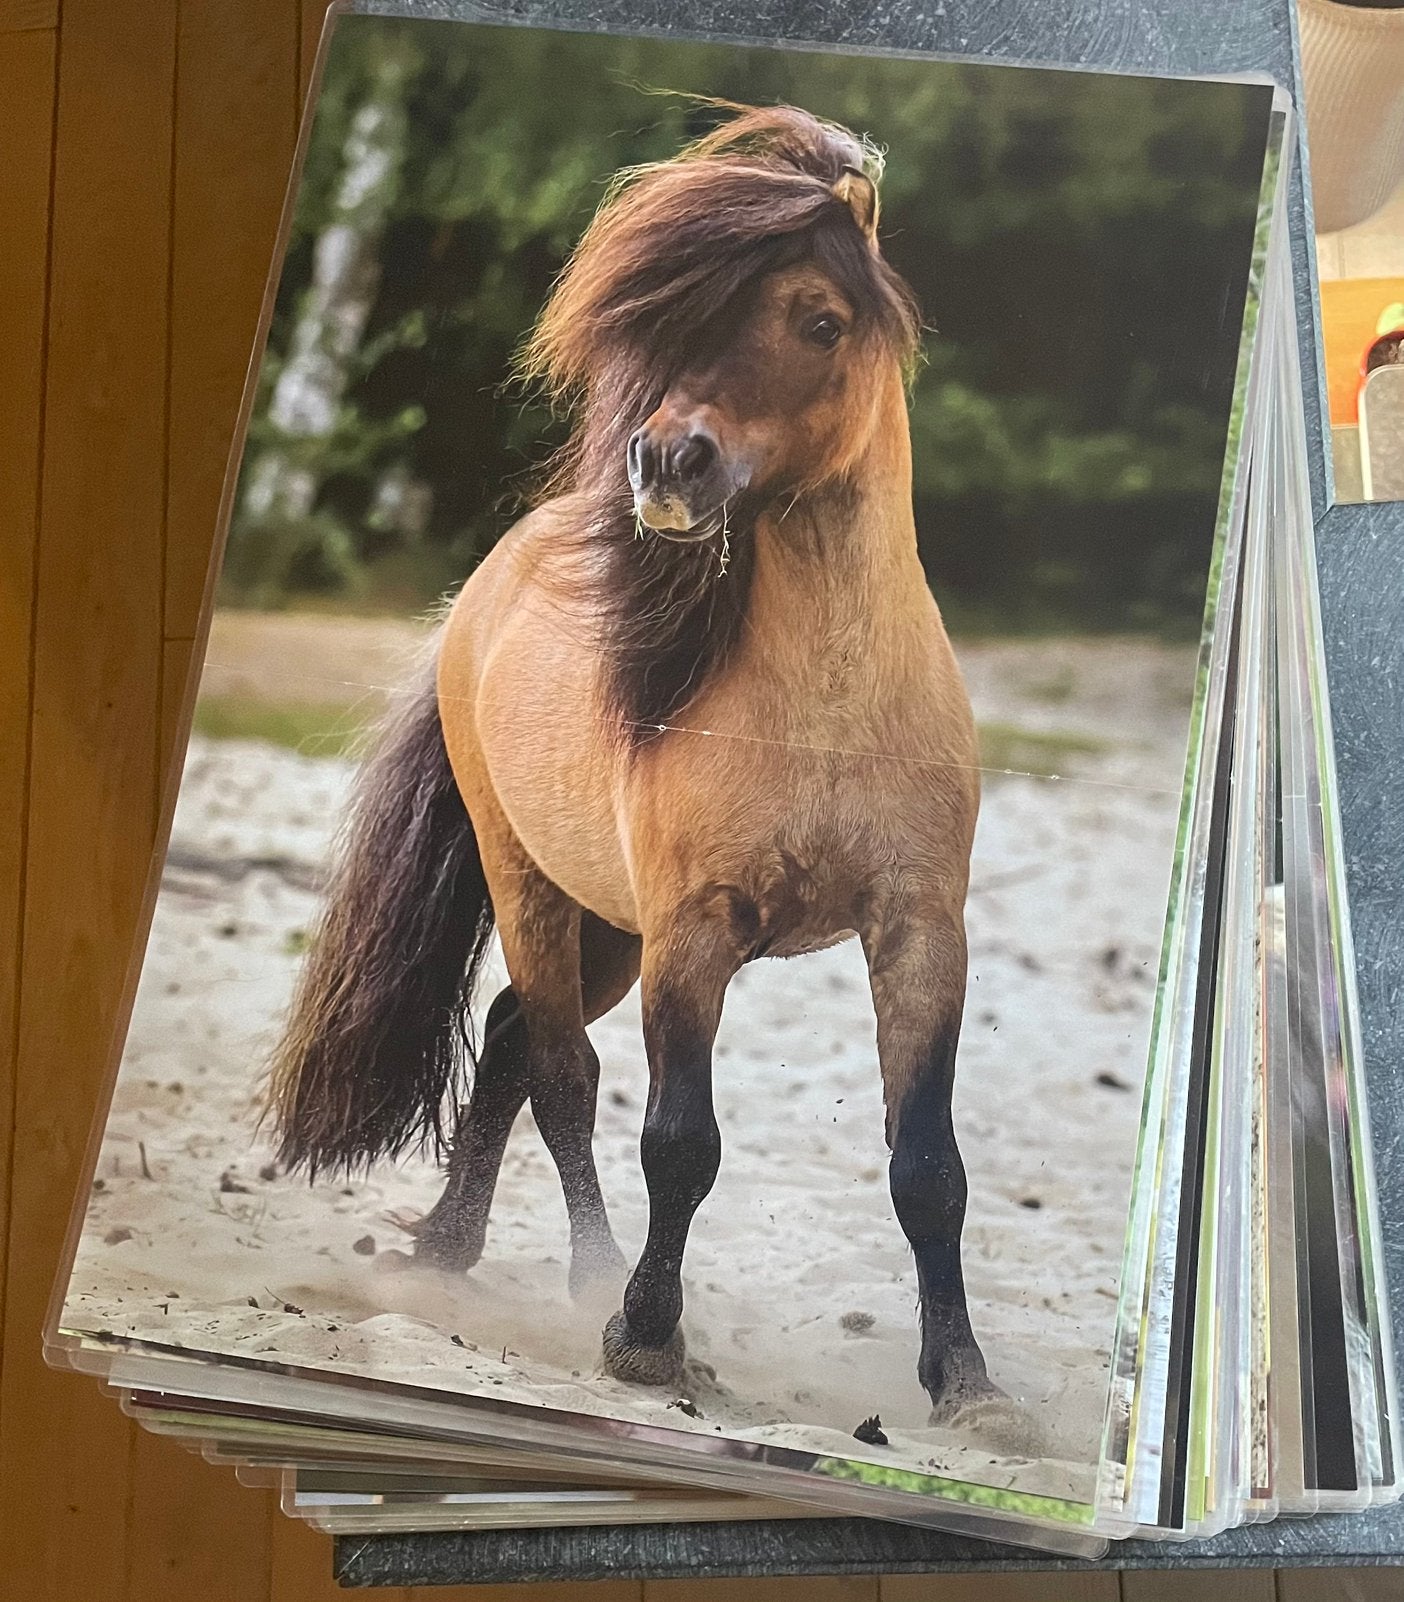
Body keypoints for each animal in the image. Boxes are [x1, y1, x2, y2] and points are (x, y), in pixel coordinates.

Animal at [269, 103, 1002, 1428]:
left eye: (820, 320)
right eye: (673, 322)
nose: (667, 465)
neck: (826, 707)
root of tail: (490, 582)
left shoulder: (921, 930)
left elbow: (927, 1164)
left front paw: (969, 1388)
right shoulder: (692, 933)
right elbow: (679, 1141)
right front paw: (647, 1340)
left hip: (602, 927)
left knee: (514, 1039)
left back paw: (449, 1252)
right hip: (538, 894)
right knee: (561, 1069)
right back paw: (590, 1278)